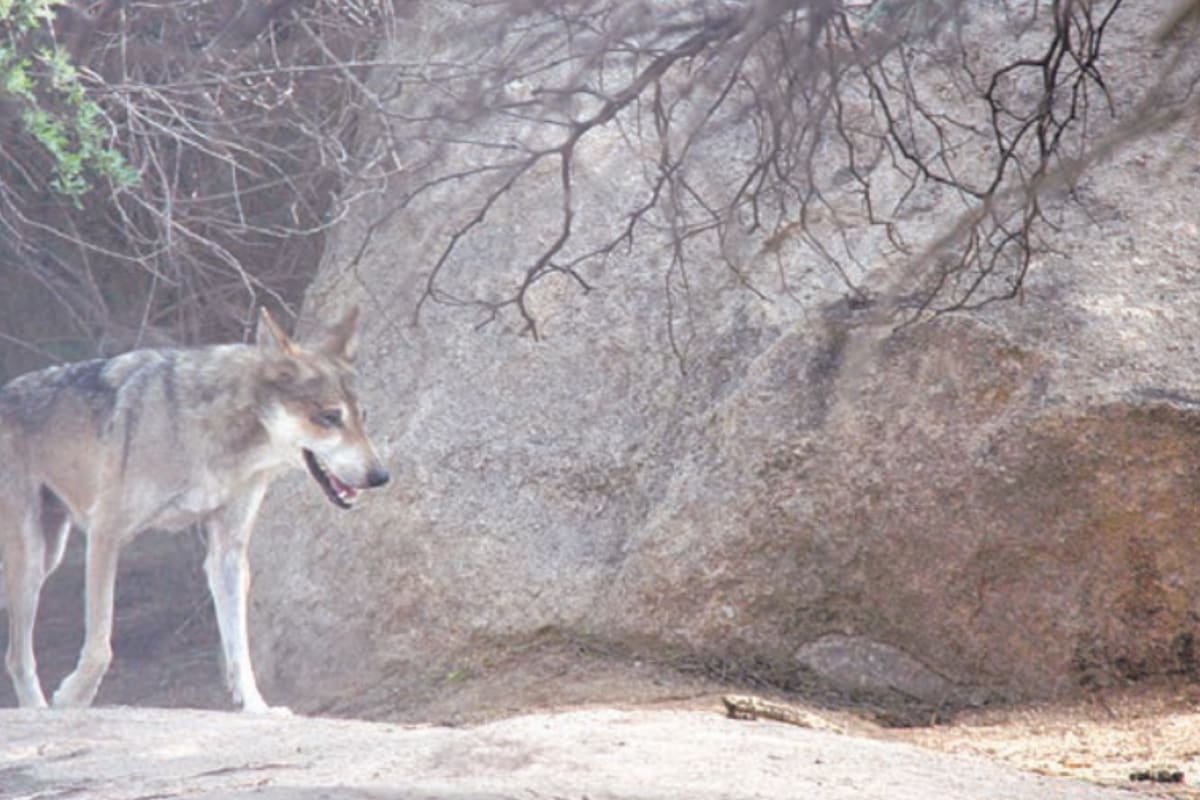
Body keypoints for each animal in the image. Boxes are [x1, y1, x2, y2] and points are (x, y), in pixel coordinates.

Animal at [0, 306, 388, 712]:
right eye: (329, 418)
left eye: (363, 417)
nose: (381, 476)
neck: (214, 434)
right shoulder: (104, 533)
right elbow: (100, 645)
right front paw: (74, 697)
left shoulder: (227, 554)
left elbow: (239, 651)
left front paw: (257, 708)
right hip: (32, 562)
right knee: (17, 657)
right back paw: (38, 708)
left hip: (44, 559)